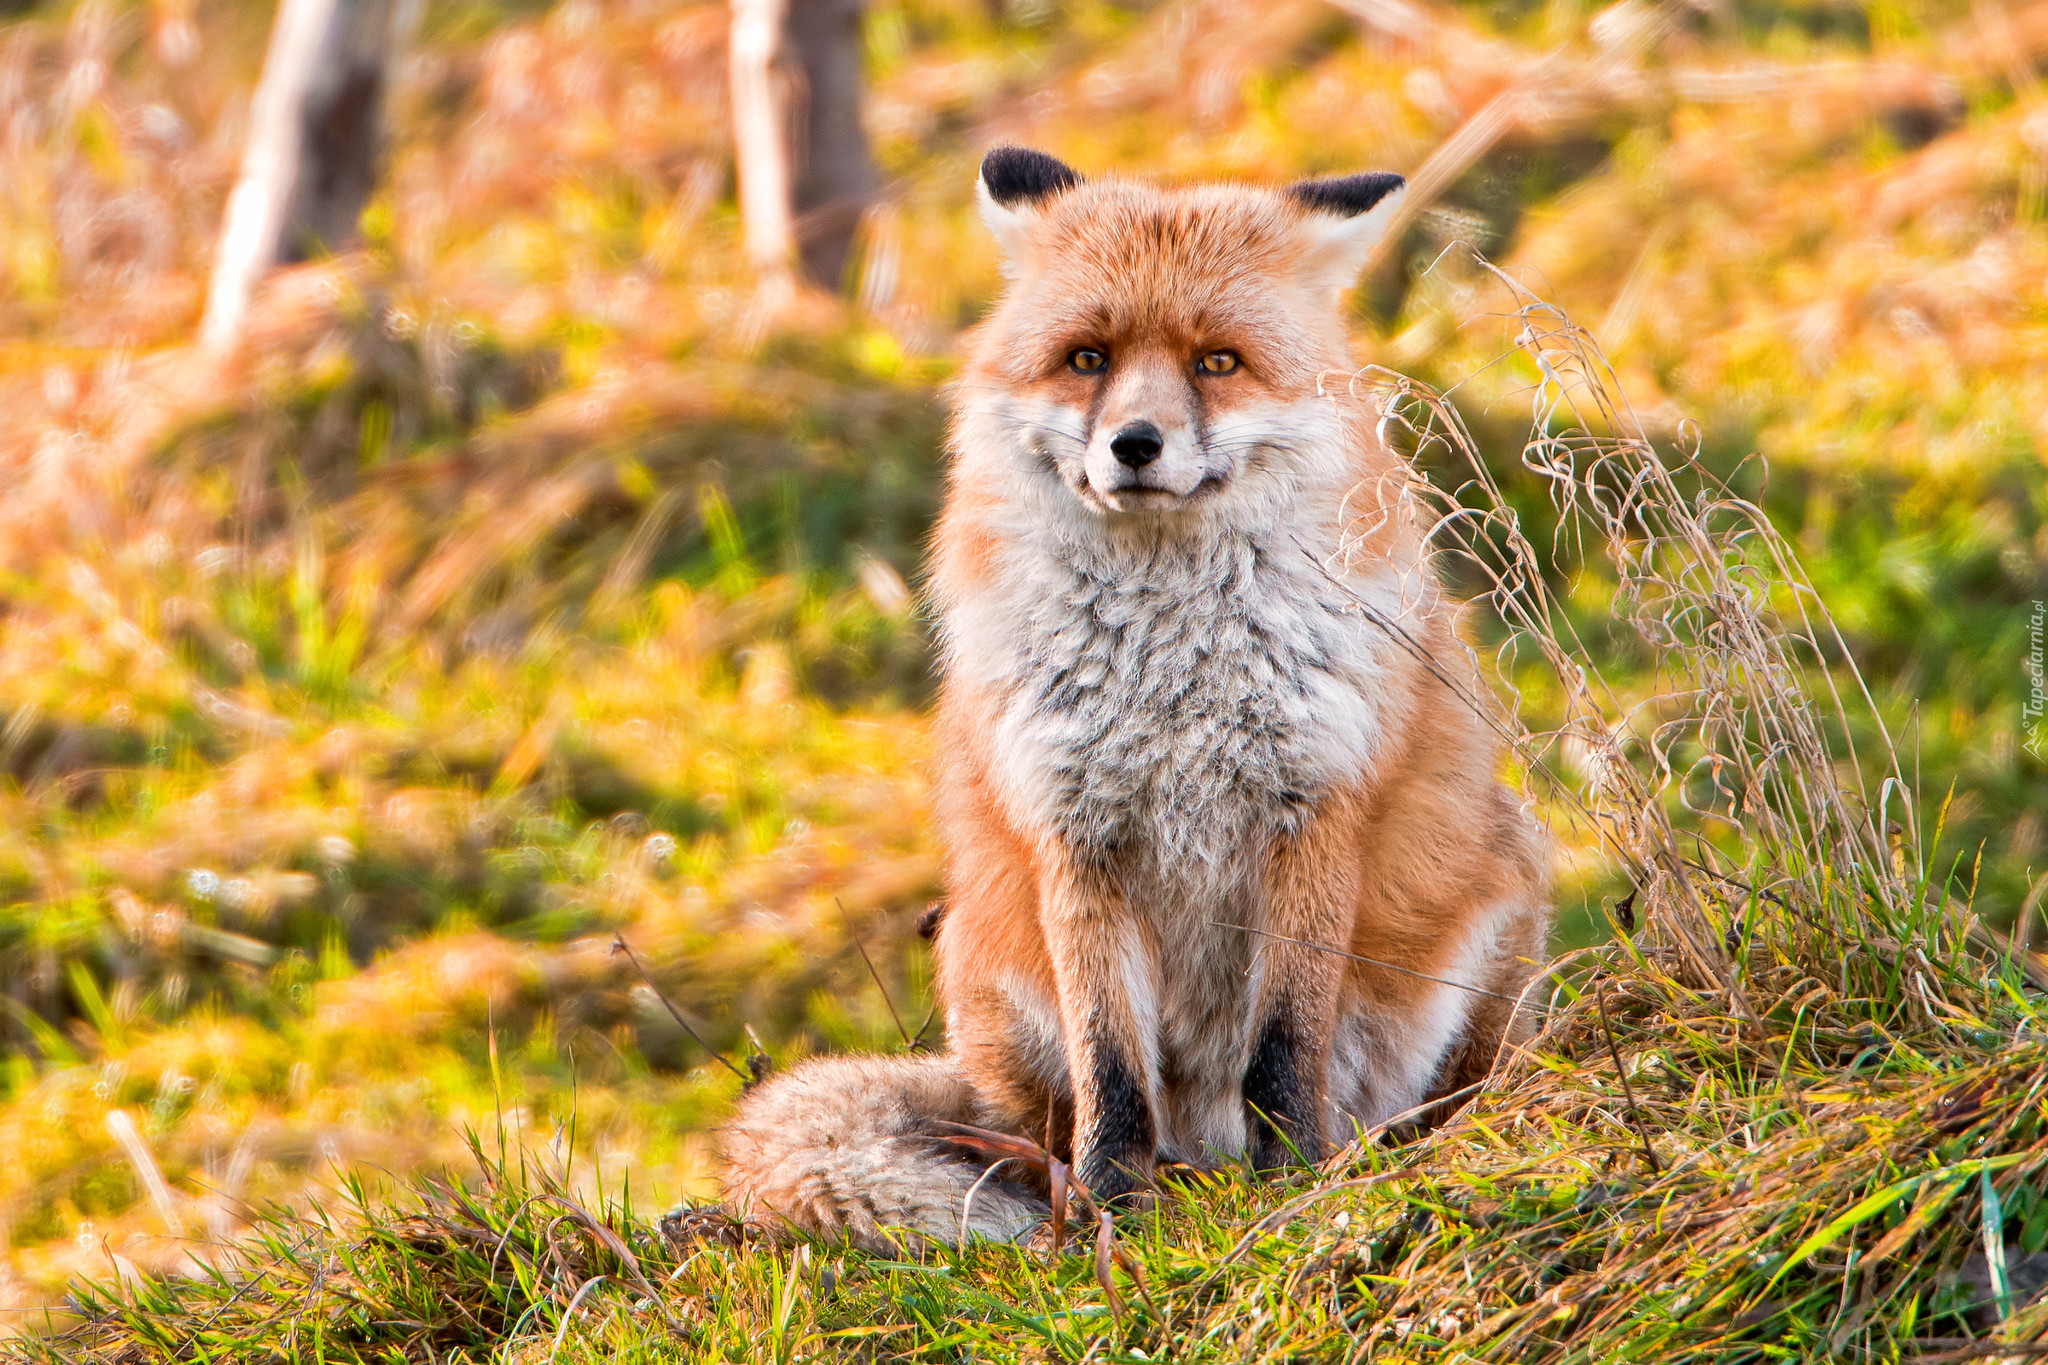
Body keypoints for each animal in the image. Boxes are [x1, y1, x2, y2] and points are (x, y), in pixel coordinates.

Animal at [720, 147, 1548, 1252]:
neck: (1170, 676)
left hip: (1496, 908)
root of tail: (1205, 1151)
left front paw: (1295, 1184)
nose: (1135, 444)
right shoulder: (1077, 828)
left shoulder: (1314, 808)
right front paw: (1115, 1209)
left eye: (1217, 362)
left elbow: (1282, 1049)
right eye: (1087, 358)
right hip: (985, 971)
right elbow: (1112, 1067)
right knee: (1045, 1127)